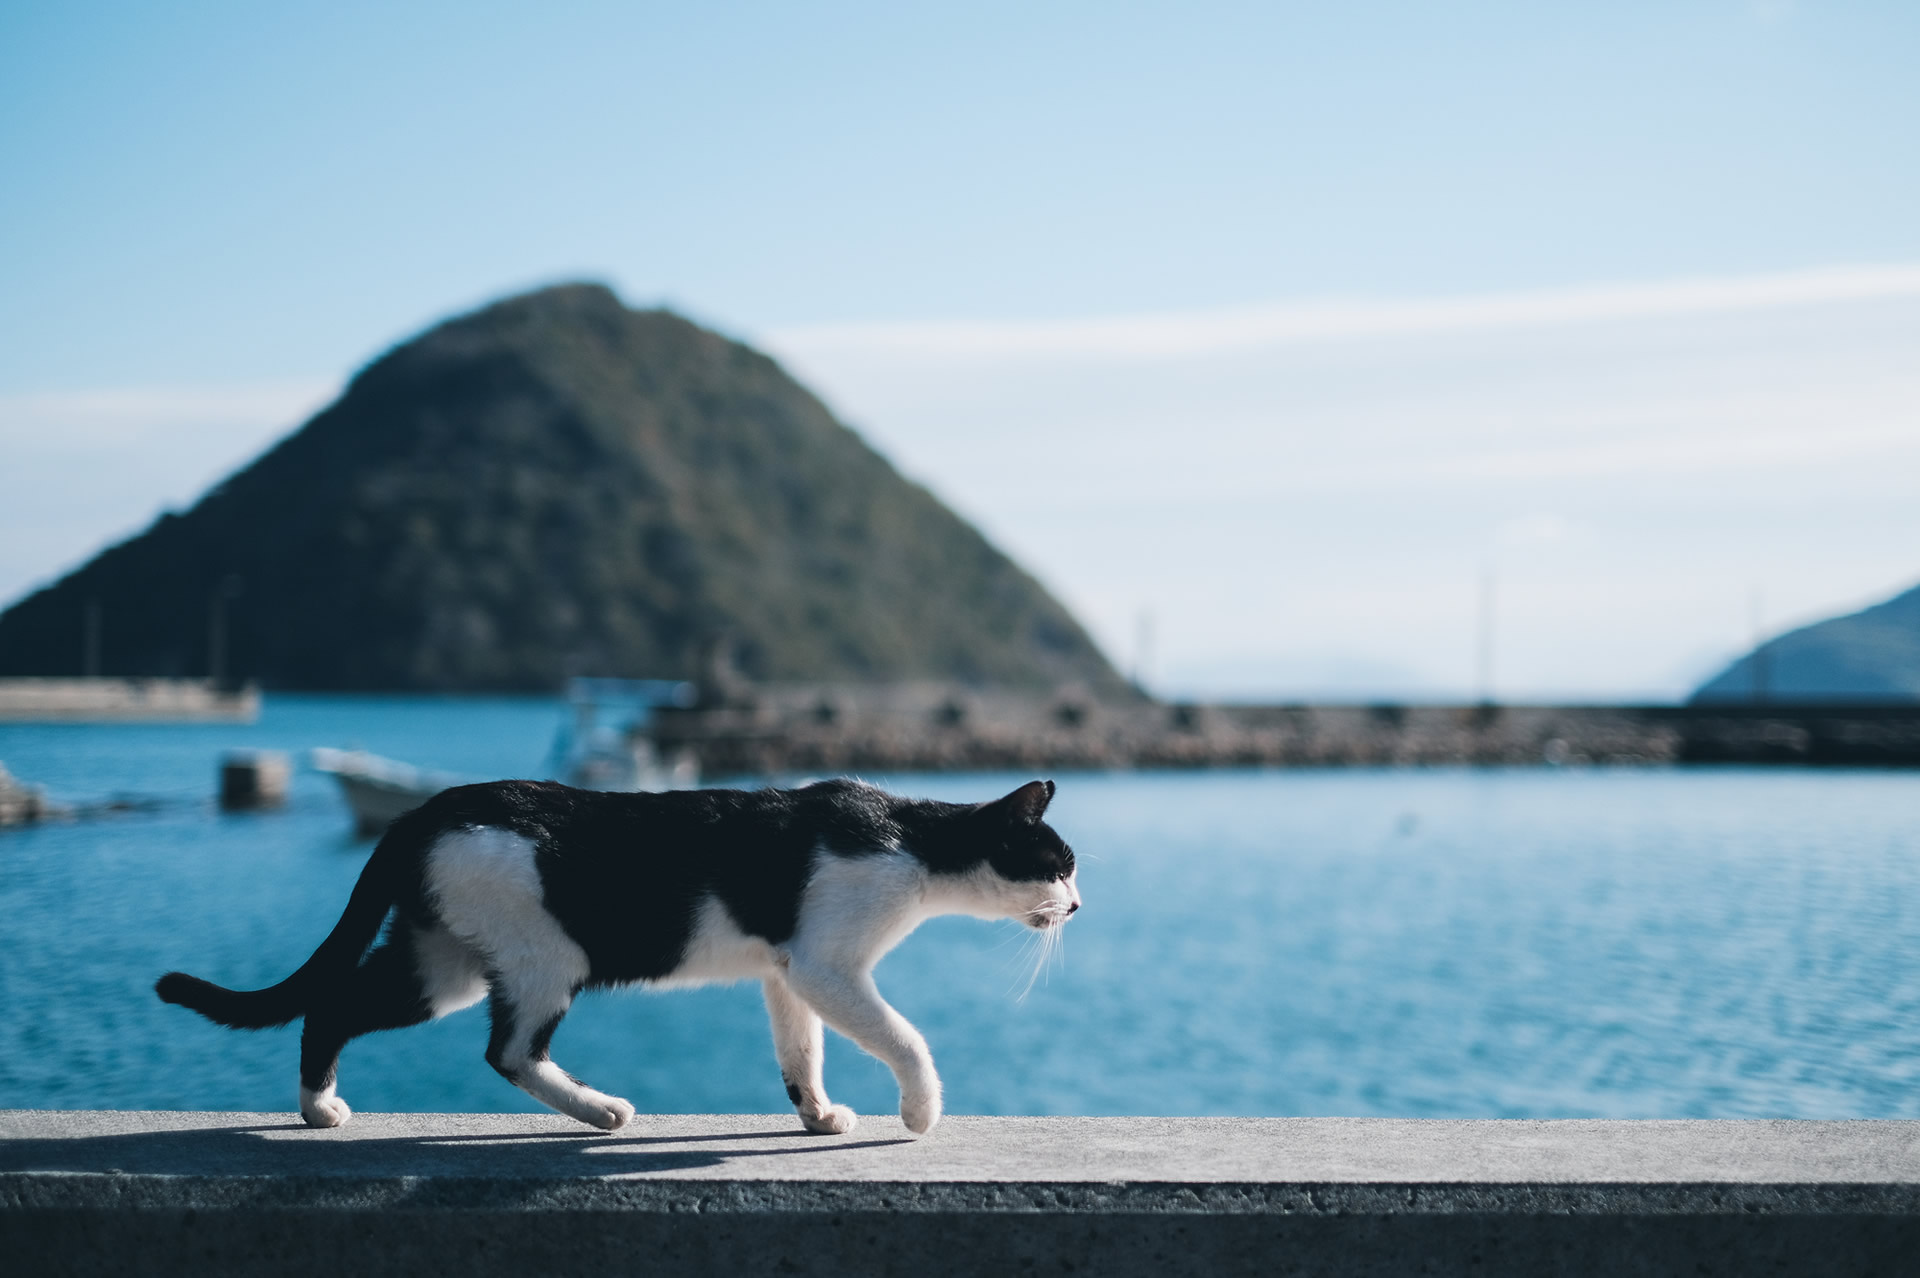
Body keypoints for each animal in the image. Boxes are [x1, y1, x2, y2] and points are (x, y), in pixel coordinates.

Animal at [153, 771, 1082, 1128]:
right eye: (1061, 864)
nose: (1078, 904)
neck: (913, 842)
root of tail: (426, 809)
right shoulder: (828, 965)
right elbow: (906, 1038)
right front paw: (920, 1112)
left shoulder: (787, 970)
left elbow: (801, 1053)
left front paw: (817, 1116)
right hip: (544, 959)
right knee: (508, 1051)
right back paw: (601, 1111)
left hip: (439, 963)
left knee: (336, 1005)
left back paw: (318, 1107)